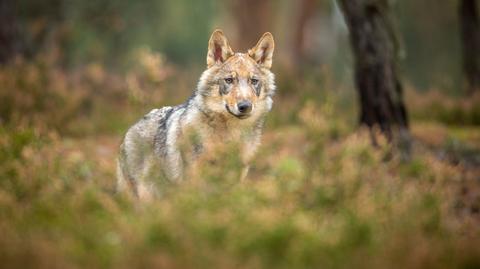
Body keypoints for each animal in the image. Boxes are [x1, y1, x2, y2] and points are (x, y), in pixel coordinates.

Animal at [116, 29, 276, 199]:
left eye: (254, 81)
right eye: (229, 80)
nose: (245, 106)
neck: (230, 138)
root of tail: (130, 129)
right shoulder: (194, 184)